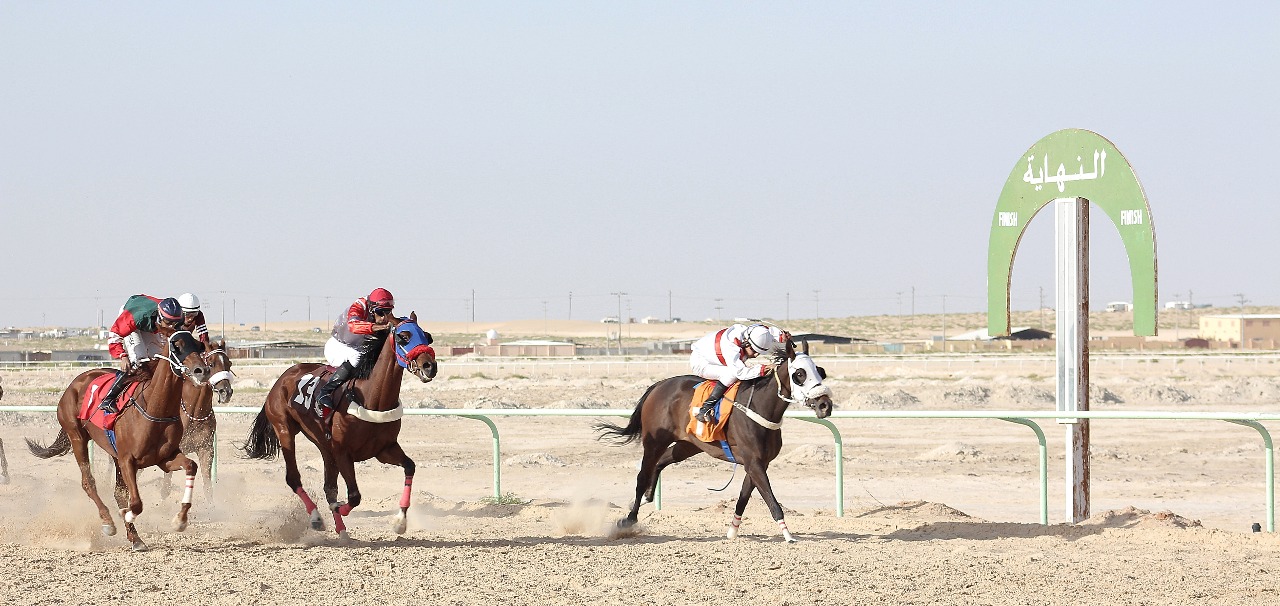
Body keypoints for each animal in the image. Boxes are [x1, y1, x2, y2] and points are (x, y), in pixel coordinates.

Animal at [24, 327, 209, 550]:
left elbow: (191, 466)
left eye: (198, 345)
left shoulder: (165, 458)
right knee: (88, 482)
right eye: (177, 346)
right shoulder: (127, 460)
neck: (154, 408)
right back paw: (108, 522)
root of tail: (75, 383)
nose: (202, 370)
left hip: (113, 454)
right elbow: (135, 503)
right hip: (77, 437)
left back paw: (135, 538)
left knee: (118, 492)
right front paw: (125, 515)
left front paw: (180, 520)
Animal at [240, 313, 440, 535]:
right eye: (403, 337)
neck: (371, 398)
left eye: (428, 336)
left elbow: (409, 467)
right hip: (284, 429)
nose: (429, 366)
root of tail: (282, 378)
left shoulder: (384, 449)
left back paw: (341, 530)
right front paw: (339, 508)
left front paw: (400, 521)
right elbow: (354, 496)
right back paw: (317, 518)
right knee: (294, 478)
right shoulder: (343, 452)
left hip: (325, 446)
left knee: (329, 487)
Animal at [593, 338, 834, 540]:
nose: (825, 405)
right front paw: (788, 536)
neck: (759, 408)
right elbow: (772, 501)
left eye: (820, 371)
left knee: (661, 462)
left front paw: (732, 532)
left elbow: (743, 498)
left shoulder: (757, 463)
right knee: (642, 475)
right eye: (799, 374)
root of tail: (657, 386)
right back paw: (629, 519)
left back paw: (648, 496)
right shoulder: (753, 462)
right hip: (654, 441)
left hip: (688, 445)